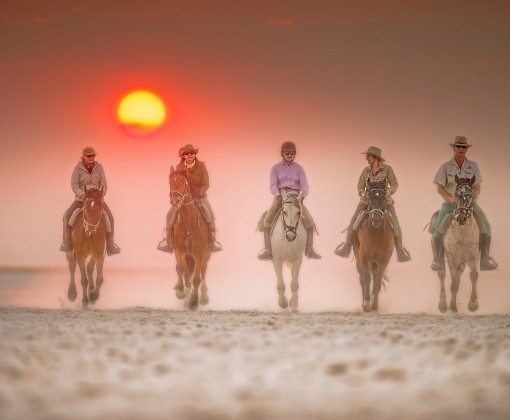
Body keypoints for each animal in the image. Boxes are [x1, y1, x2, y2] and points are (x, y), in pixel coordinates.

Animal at [167, 167, 211, 308]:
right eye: (170, 182)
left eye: (183, 183)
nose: (175, 201)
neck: (189, 223)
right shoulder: (179, 251)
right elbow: (182, 271)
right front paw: (182, 293)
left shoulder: (199, 253)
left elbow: (196, 278)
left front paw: (194, 301)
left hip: (207, 253)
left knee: (203, 271)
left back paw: (204, 296)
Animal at [352, 180, 396, 312]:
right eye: (369, 198)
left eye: (383, 198)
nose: (375, 218)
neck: (376, 234)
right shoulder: (363, 257)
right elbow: (367, 278)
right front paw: (366, 303)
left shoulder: (384, 259)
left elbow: (377, 280)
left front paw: (374, 305)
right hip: (358, 259)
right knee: (362, 279)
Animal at [434, 174, 478, 312]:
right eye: (456, 193)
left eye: (470, 194)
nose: (461, 218)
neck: (463, 233)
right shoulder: (452, 257)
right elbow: (453, 283)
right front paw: (452, 307)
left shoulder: (473, 256)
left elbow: (473, 275)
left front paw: (473, 303)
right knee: (442, 274)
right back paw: (443, 303)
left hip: (462, 262)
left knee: (458, 277)